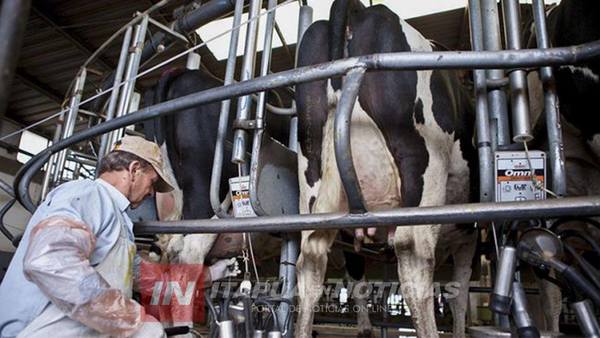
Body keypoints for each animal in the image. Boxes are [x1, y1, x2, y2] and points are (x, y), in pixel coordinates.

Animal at [296, 1, 478, 336]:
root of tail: (359, 11)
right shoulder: (470, 235)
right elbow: (460, 294)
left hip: (312, 173)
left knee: (312, 260)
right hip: (422, 164)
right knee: (414, 258)